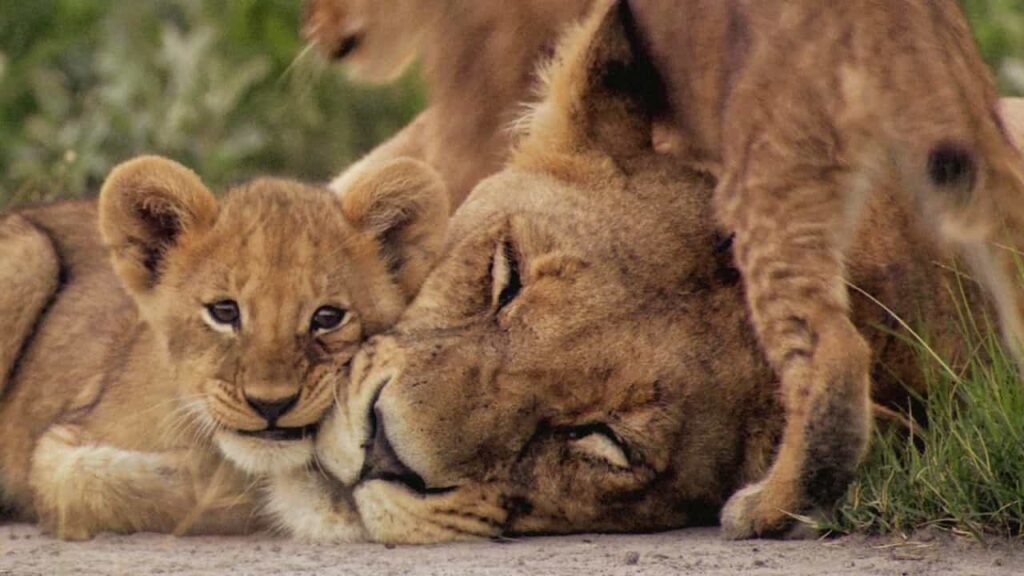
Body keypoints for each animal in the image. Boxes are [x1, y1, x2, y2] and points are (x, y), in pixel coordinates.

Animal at [0, 155, 447, 540]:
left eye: (328, 317)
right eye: (224, 311)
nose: (271, 404)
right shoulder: (58, 448)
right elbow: (98, 481)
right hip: (28, 252)